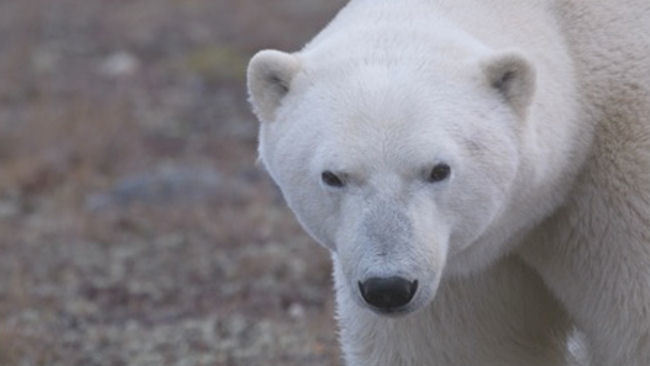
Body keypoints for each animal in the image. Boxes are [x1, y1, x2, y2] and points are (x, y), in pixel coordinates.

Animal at [244, 0, 648, 364]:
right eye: (333, 176)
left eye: (439, 170)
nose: (388, 288)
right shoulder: (457, 270)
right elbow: (455, 348)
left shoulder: (622, 188)